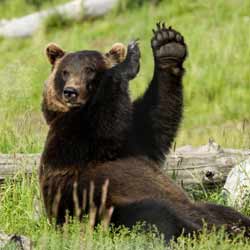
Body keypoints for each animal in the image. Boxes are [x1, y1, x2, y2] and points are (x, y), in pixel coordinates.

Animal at [39, 23, 250, 242]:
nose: (70, 92)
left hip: (203, 208)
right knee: (157, 216)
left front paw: (167, 46)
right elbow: (101, 126)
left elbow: (156, 117)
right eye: (65, 71)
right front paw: (130, 59)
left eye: (89, 69)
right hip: (109, 209)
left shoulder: (133, 137)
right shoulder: (72, 138)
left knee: (226, 213)